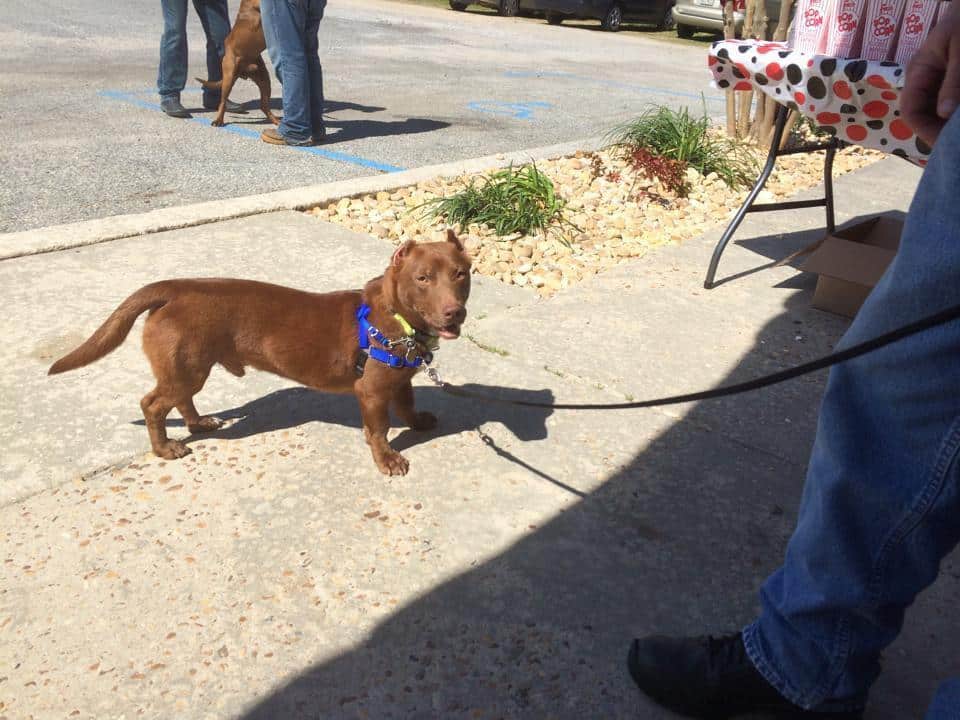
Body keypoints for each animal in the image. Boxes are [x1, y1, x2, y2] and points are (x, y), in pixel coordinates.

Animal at [47, 233, 470, 476]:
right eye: (422, 278)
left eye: (460, 274)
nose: (455, 312)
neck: (397, 316)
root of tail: (174, 288)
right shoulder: (372, 392)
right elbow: (379, 430)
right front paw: (387, 460)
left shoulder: (400, 379)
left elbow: (408, 403)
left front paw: (417, 421)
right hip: (185, 368)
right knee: (153, 405)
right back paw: (165, 448)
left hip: (189, 367)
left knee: (181, 400)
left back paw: (199, 423)